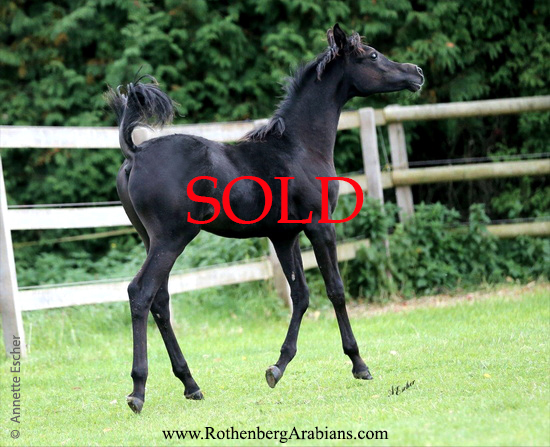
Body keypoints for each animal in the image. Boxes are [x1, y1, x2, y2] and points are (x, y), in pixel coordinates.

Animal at [106, 23, 424, 414]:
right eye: (374, 55)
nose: (416, 73)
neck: (298, 147)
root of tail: (134, 152)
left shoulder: (284, 236)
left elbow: (301, 295)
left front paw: (277, 368)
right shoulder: (320, 226)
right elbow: (335, 289)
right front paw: (359, 364)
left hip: (151, 239)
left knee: (160, 301)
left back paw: (191, 384)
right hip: (171, 238)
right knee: (141, 292)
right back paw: (138, 391)